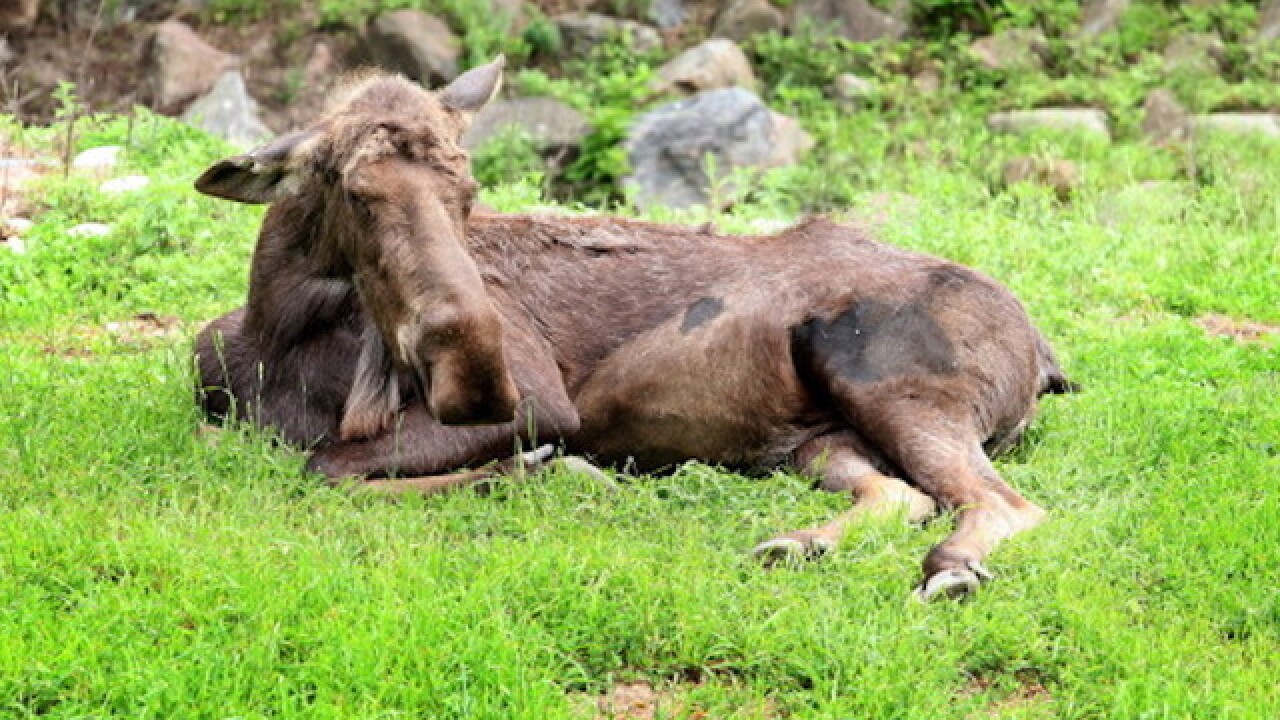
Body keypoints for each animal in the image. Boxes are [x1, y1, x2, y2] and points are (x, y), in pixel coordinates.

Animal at [193, 57, 1076, 600]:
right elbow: (322, 463)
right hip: (817, 438)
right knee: (902, 495)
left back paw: (950, 570)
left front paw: (553, 471)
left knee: (1004, 504)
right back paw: (797, 543)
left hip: (883, 381)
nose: (469, 372)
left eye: (469, 192)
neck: (280, 337)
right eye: (354, 189)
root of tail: (1045, 356)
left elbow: (325, 468)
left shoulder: (542, 400)